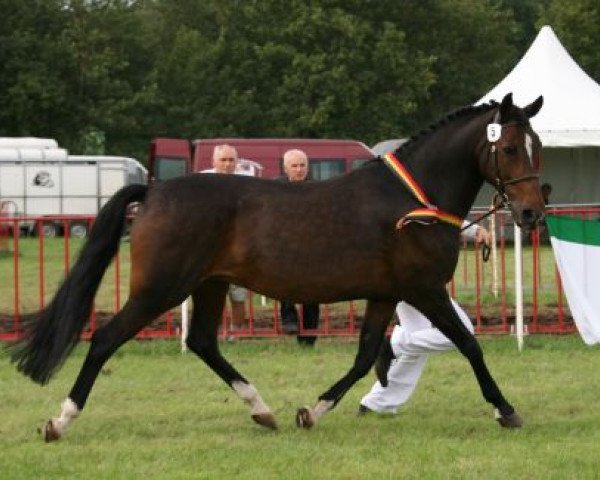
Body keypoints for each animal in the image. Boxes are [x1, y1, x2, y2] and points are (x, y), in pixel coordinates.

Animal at [9, 92, 548, 440]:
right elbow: (469, 344)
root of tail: (156, 192)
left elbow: (365, 356)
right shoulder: (425, 290)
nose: (530, 213)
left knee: (201, 342)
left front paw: (312, 411)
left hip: (209, 285)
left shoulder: (385, 293)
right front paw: (506, 410)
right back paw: (60, 421)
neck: (412, 201)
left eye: (538, 147)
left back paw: (262, 410)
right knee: (104, 339)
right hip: (160, 290)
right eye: (507, 147)